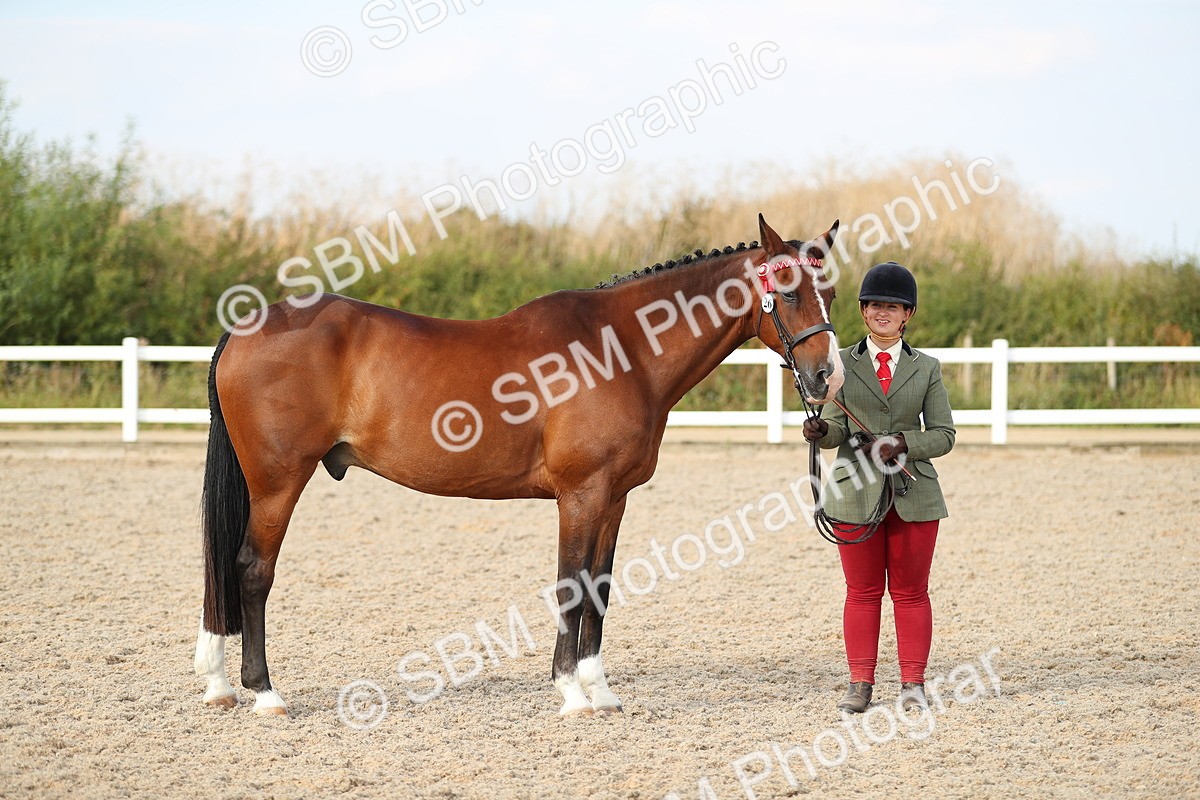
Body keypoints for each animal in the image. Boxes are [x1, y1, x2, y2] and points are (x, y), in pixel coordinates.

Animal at [193, 214, 845, 718]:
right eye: (789, 292)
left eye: (831, 294)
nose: (827, 378)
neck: (622, 349)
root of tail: (245, 329)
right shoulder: (581, 494)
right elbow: (569, 585)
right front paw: (571, 694)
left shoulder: (615, 498)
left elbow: (599, 588)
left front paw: (600, 692)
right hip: (277, 482)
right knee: (251, 569)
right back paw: (265, 694)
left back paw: (220, 686)